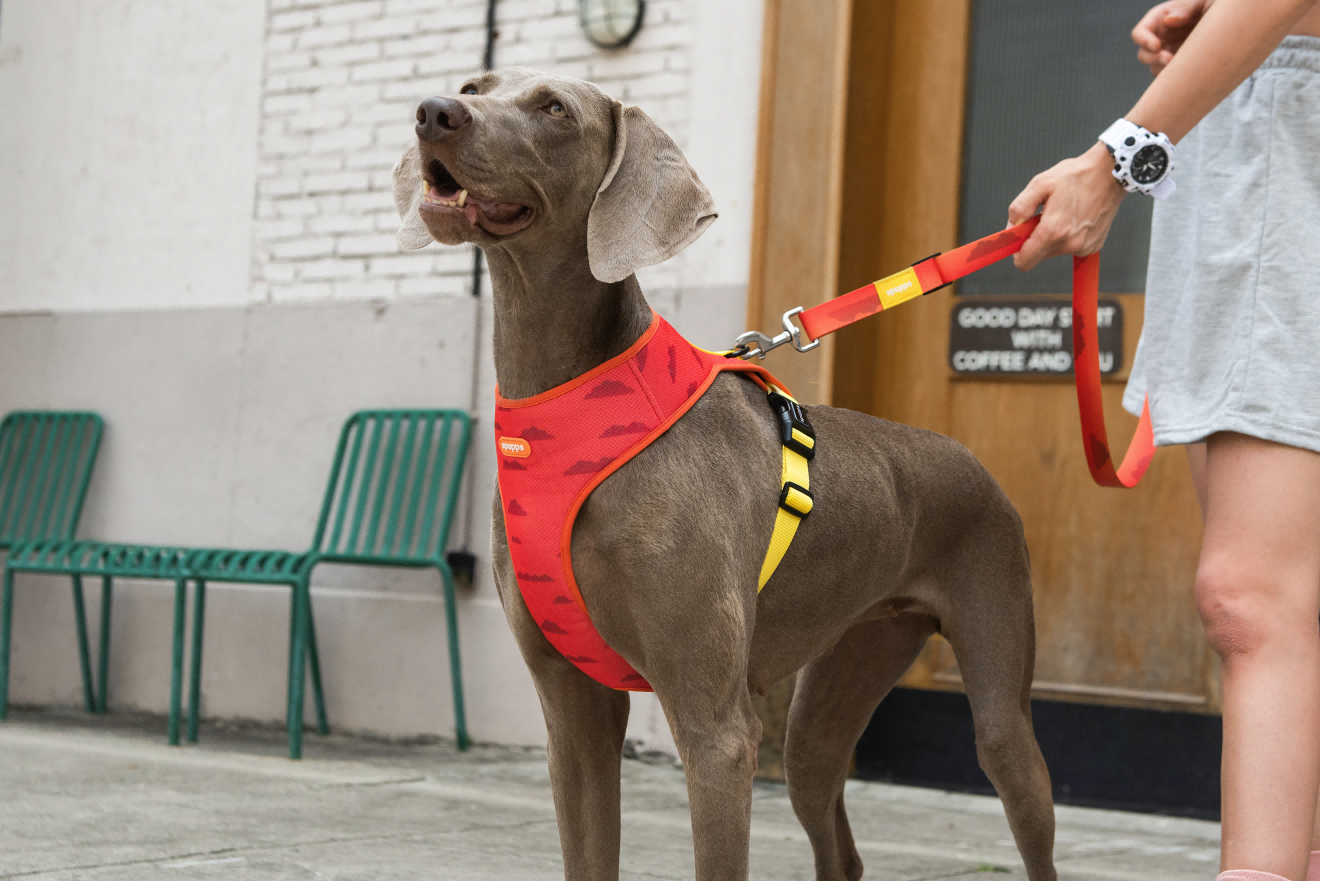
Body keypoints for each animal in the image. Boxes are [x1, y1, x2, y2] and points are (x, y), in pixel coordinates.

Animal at [388, 69, 1050, 881]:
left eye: (554, 109)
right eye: (474, 85)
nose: (433, 113)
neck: (568, 404)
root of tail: (970, 459)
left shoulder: (716, 731)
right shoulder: (573, 716)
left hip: (998, 710)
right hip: (826, 705)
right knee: (840, 842)